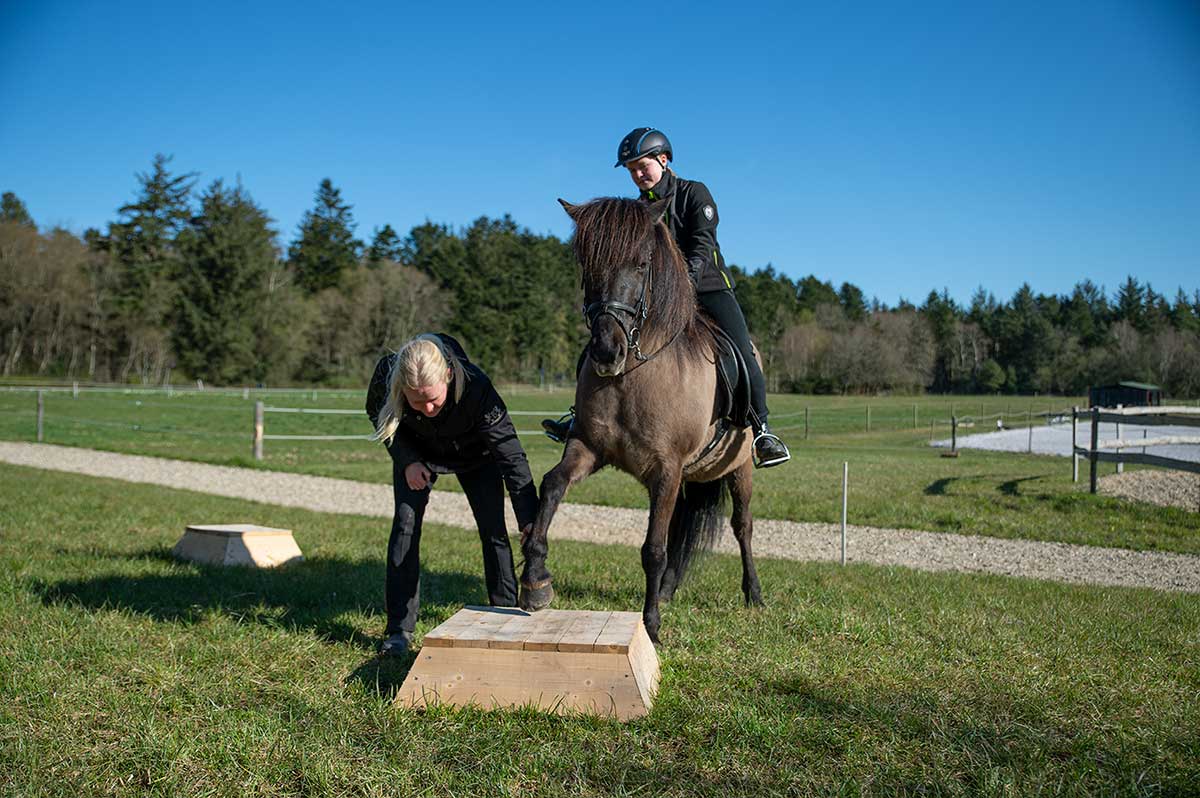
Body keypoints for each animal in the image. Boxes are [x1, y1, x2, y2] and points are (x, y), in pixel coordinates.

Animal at [513, 198, 758, 643]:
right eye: (586, 263)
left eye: (643, 264)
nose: (606, 352)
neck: (632, 375)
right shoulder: (589, 448)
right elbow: (552, 486)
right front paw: (536, 579)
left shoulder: (666, 468)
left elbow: (653, 549)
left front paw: (652, 627)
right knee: (682, 525)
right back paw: (667, 589)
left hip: (740, 465)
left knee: (742, 525)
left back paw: (754, 593)